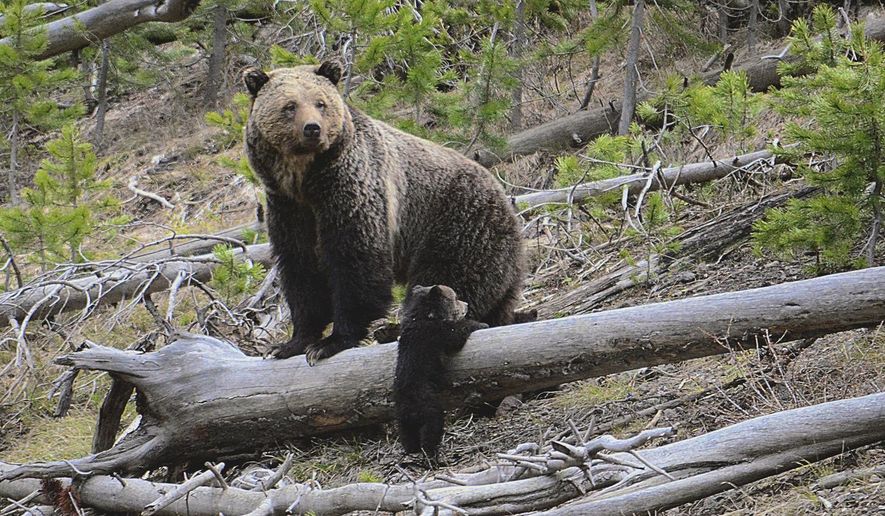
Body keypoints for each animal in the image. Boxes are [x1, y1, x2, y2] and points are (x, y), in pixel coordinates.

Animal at [243, 61, 525, 365]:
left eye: (320, 103)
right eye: (290, 105)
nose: (312, 129)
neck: (305, 180)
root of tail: (508, 203)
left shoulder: (351, 190)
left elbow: (356, 261)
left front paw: (331, 341)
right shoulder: (288, 208)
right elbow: (301, 269)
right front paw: (290, 343)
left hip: (459, 222)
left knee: (448, 278)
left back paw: (396, 328)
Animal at [393, 284, 487, 457]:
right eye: (455, 298)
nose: (466, 304)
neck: (426, 316)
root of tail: (409, 408)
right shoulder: (436, 333)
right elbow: (456, 334)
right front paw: (481, 324)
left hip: (402, 418)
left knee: (407, 435)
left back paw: (411, 450)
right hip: (427, 406)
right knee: (432, 428)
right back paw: (432, 454)